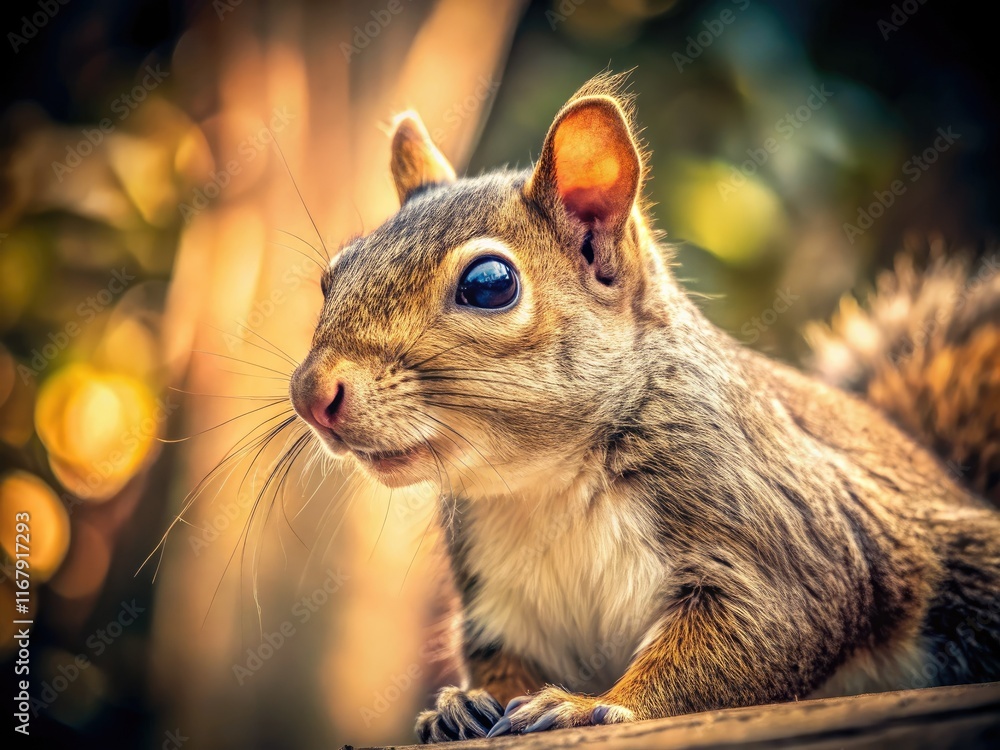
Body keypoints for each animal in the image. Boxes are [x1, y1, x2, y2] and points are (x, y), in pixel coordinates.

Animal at [287, 74, 1000, 743]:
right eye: (332, 275)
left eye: (488, 285)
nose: (310, 395)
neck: (543, 483)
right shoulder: (498, 605)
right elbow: (502, 664)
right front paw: (460, 705)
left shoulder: (779, 532)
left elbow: (756, 630)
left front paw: (587, 705)